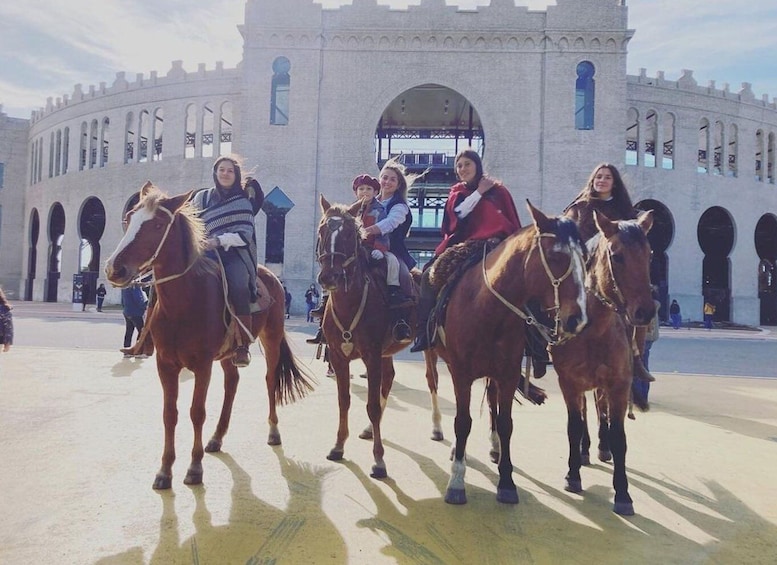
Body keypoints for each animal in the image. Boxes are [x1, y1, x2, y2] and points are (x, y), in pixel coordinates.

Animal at [104, 182, 314, 490]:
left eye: (157, 224)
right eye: (130, 218)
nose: (113, 269)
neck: (183, 303)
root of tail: (271, 276)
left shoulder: (202, 365)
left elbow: (196, 412)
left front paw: (194, 467)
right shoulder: (165, 364)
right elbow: (170, 414)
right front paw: (165, 470)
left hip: (272, 337)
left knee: (269, 379)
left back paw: (273, 431)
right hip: (229, 353)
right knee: (232, 383)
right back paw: (217, 437)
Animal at [312, 196, 440, 478]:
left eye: (350, 233)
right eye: (322, 231)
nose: (329, 277)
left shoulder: (371, 355)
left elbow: (370, 404)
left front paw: (379, 460)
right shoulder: (339, 357)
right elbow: (344, 400)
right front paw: (338, 445)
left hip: (429, 345)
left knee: (432, 379)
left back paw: (437, 427)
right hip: (386, 351)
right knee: (389, 379)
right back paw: (371, 429)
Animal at [430, 202, 588, 502]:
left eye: (585, 258)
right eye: (556, 256)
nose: (578, 319)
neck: (488, 309)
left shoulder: (508, 373)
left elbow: (506, 423)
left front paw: (506, 481)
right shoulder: (461, 373)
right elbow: (462, 421)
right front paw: (457, 480)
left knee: (491, 399)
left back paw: (493, 446)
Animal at [544, 208, 656, 516]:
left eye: (649, 253)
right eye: (617, 256)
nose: (646, 311)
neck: (592, 330)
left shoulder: (619, 383)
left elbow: (619, 435)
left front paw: (623, 493)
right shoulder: (569, 382)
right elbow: (573, 425)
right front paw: (573, 474)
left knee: (599, 408)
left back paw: (602, 447)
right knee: (585, 410)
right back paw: (584, 450)